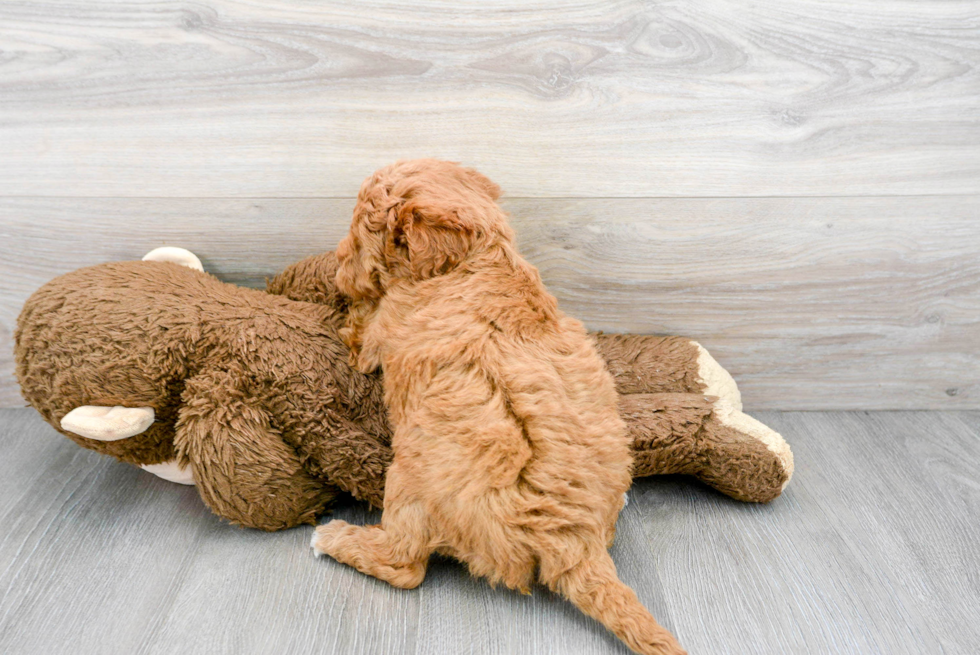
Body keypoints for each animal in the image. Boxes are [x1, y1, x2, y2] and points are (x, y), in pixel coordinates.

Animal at [312, 160, 680, 655]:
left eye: (357, 237)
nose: (335, 264)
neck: (474, 260)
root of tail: (574, 541)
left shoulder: (382, 330)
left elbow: (359, 331)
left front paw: (342, 312)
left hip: (409, 479)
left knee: (405, 565)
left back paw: (334, 537)